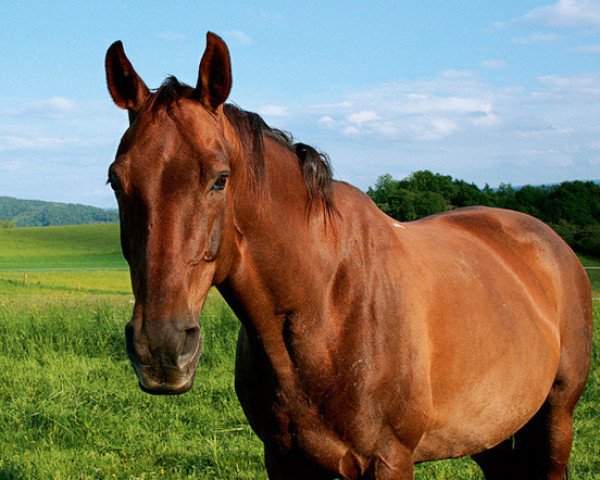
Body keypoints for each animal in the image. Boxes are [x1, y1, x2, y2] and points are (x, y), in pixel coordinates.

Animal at [104, 31, 592, 478]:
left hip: (556, 418)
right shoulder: (283, 460)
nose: (161, 349)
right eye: (116, 181)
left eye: (220, 179)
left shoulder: (389, 459)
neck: (326, 307)